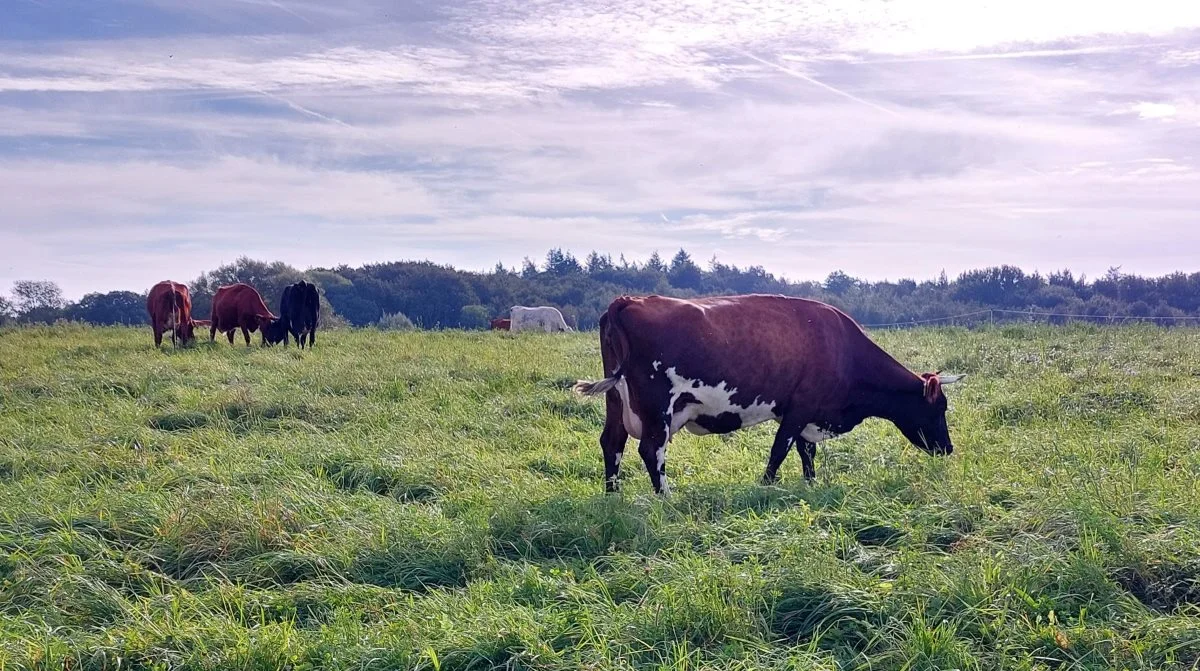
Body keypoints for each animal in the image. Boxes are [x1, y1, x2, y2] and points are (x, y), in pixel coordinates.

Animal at [571, 294, 964, 494]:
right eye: (939, 409)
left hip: (617, 401)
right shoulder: (799, 408)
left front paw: (809, 484)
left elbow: (807, 453)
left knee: (612, 442)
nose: (948, 448)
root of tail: (628, 300)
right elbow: (780, 451)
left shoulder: (808, 413)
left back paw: (613, 495)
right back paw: (665, 497)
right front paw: (767, 487)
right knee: (651, 450)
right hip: (658, 408)